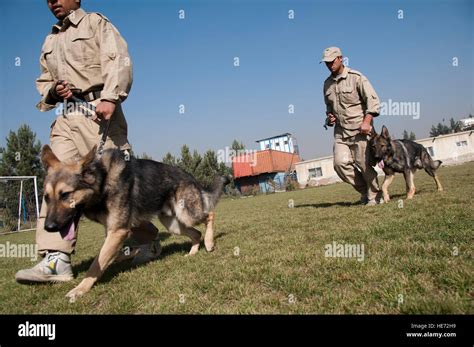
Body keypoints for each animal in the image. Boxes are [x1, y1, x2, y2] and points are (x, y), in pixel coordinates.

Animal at [40, 145, 230, 300]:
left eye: (65, 195)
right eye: (46, 197)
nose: (48, 227)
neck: (103, 179)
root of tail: (191, 177)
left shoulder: (118, 231)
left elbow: (96, 263)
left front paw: (80, 289)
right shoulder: (112, 232)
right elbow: (107, 256)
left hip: (186, 215)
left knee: (210, 215)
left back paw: (209, 242)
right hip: (172, 224)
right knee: (196, 233)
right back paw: (192, 252)